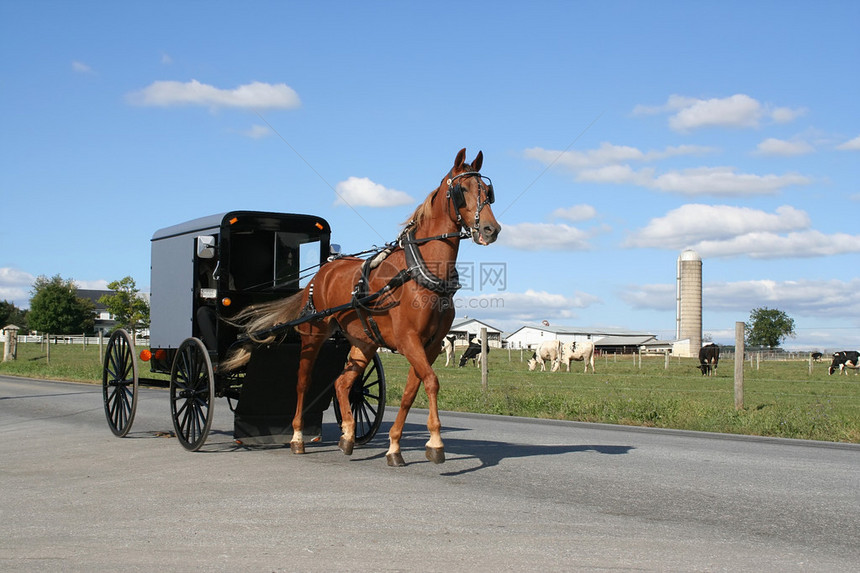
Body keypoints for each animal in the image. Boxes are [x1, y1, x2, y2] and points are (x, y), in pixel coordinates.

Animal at [223, 147, 504, 464]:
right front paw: (435, 442)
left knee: (342, 383)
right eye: (462, 190)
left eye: (487, 192)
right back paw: (297, 437)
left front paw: (394, 445)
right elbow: (431, 381)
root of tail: (321, 272)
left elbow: (412, 390)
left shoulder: (429, 345)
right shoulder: (408, 339)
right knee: (303, 382)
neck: (420, 272)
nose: (491, 229)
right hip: (313, 335)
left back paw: (347, 435)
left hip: (364, 341)